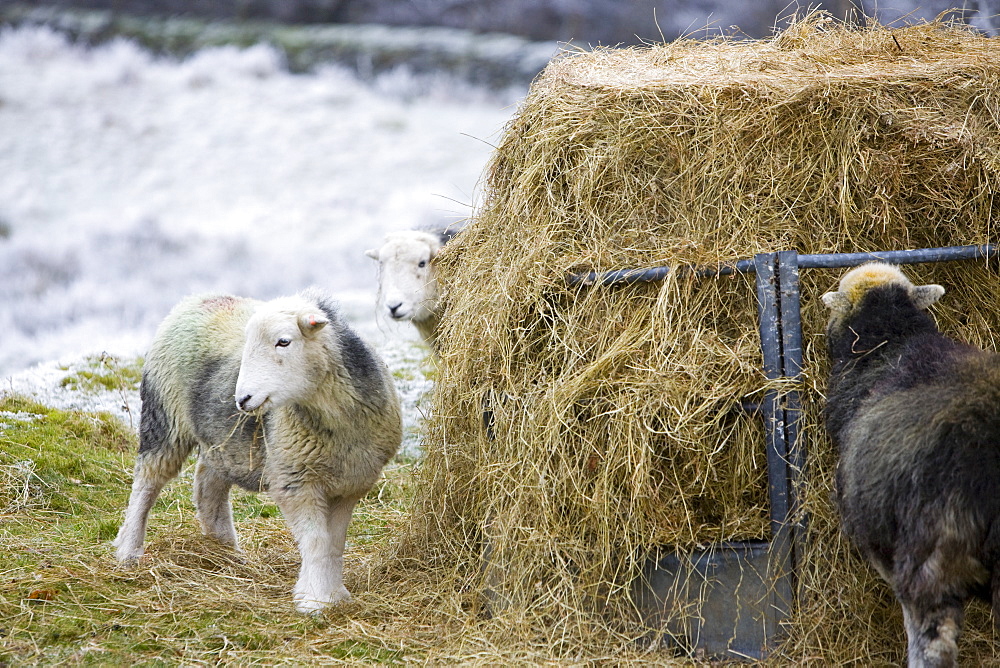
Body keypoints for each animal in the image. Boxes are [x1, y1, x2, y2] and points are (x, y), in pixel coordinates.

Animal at [113, 288, 402, 612]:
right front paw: (314, 600)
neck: (334, 423)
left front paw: (335, 594)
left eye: (284, 341)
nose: (242, 399)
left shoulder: (349, 486)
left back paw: (224, 548)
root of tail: (202, 297)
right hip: (164, 417)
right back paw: (129, 550)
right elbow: (316, 541)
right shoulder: (294, 481)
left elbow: (334, 543)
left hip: (222, 441)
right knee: (146, 483)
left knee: (208, 484)